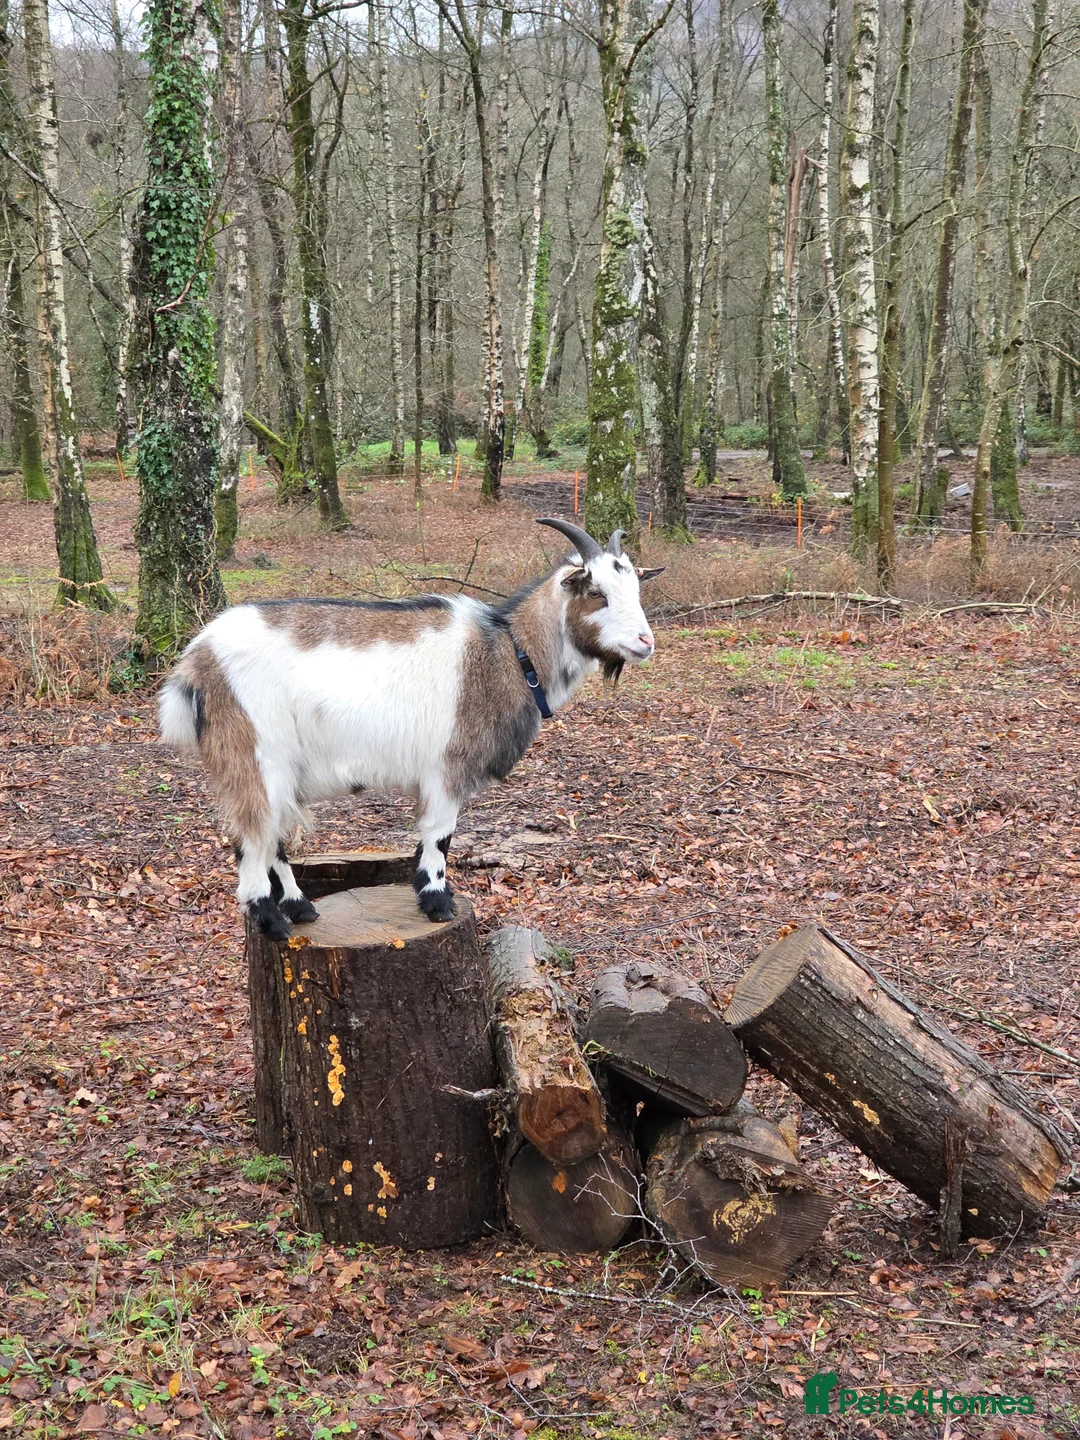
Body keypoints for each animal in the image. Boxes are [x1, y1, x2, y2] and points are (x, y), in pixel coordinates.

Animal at [159, 518, 661, 939]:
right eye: (596, 592)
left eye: (635, 588)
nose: (645, 642)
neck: (508, 651)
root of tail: (196, 660)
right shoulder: (446, 766)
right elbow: (440, 833)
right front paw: (438, 901)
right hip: (256, 752)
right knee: (251, 839)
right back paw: (272, 921)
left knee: (272, 838)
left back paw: (300, 908)